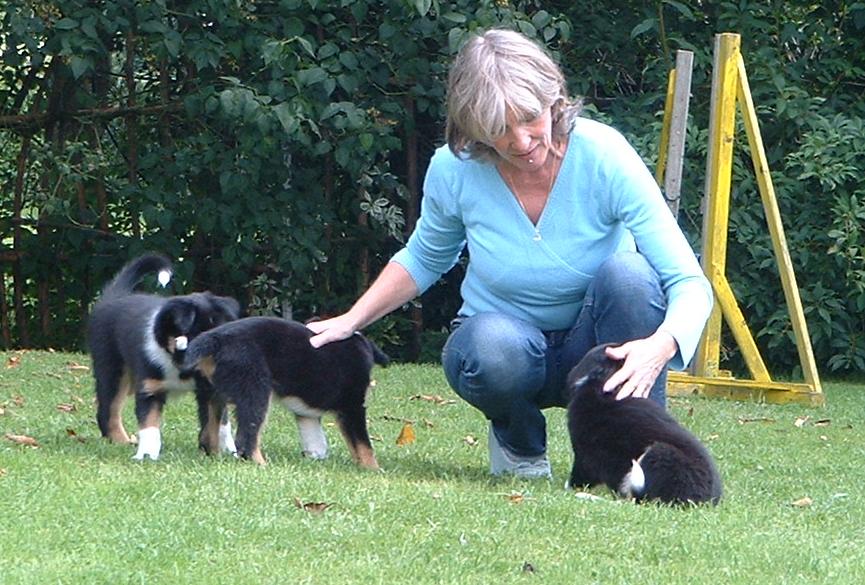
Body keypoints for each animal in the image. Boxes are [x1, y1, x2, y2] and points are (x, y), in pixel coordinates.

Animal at [87, 253, 241, 460]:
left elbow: (213, 424)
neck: (178, 365)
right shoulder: (150, 388)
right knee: (108, 411)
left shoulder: (210, 390)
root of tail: (117, 295)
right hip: (112, 369)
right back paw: (121, 441)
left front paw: (213, 452)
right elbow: (150, 425)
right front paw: (147, 455)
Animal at [180, 316, 389, 468]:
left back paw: (215, 457)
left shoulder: (307, 413)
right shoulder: (353, 407)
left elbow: (319, 439)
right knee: (246, 439)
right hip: (256, 391)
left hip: (209, 394)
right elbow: (364, 445)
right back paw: (262, 465)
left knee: (207, 434)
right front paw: (373, 470)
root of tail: (216, 339)